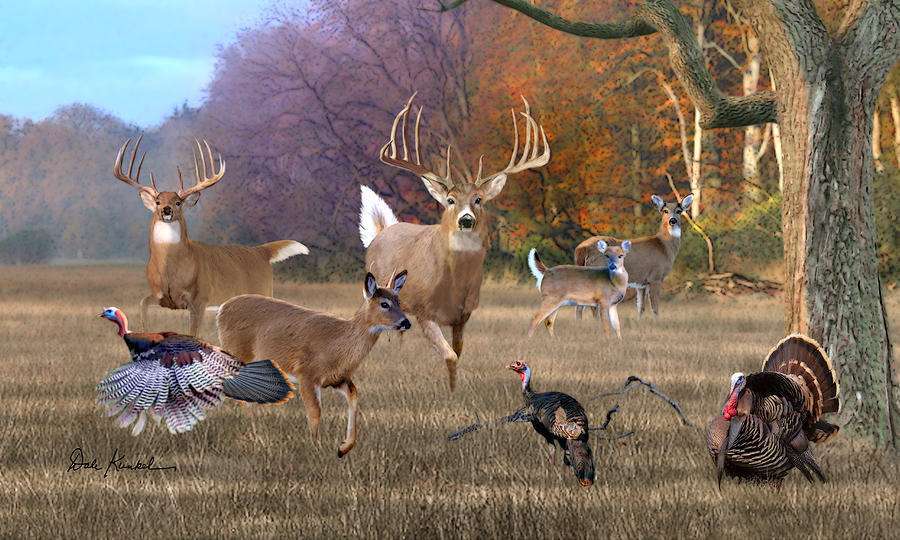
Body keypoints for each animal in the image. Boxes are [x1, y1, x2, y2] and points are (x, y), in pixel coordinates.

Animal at [112, 136, 309, 336]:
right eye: (158, 201)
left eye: (178, 202)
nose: (167, 210)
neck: (171, 271)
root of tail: (261, 251)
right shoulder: (160, 296)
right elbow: (143, 305)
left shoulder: (200, 298)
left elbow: (192, 334)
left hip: (263, 290)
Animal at [216, 270, 411, 458]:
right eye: (384, 304)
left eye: (399, 301)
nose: (406, 322)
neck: (338, 347)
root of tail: (222, 309)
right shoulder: (307, 374)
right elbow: (315, 412)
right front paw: (317, 449)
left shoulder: (338, 378)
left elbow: (354, 398)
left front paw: (343, 448)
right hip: (239, 353)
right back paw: (256, 438)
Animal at [359, 94, 550, 391]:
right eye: (450, 200)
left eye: (478, 199)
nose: (466, 219)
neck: (455, 283)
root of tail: (382, 229)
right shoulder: (424, 311)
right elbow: (448, 354)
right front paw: (449, 392)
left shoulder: (463, 315)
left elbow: (458, 352)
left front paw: (454, 388)